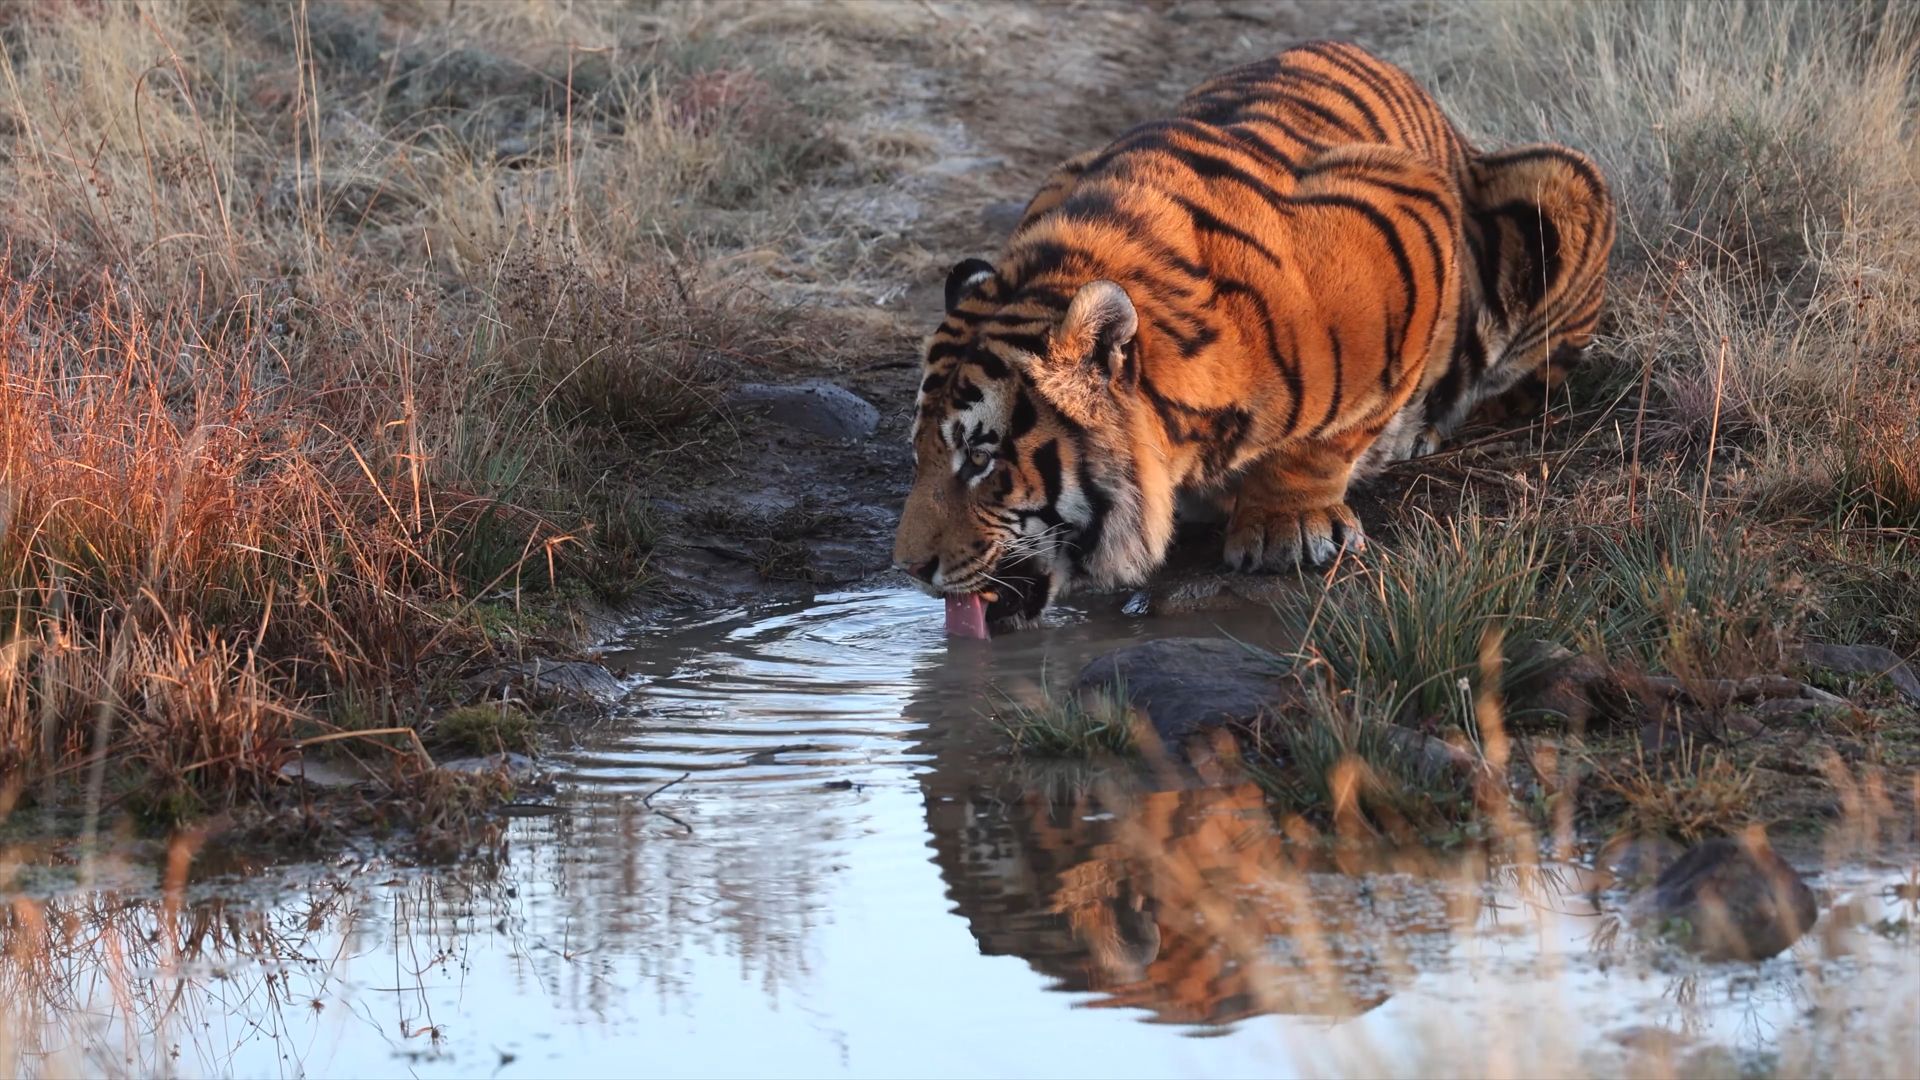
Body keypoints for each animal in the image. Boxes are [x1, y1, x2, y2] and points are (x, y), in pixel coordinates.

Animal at [890, 44, 1612, 630]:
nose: (910, 569)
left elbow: (1332, 434)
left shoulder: (1407, 206)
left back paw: (1419, 432)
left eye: (981, 459)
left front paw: (1283, 524)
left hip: (1564, 180)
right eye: (920, 452)